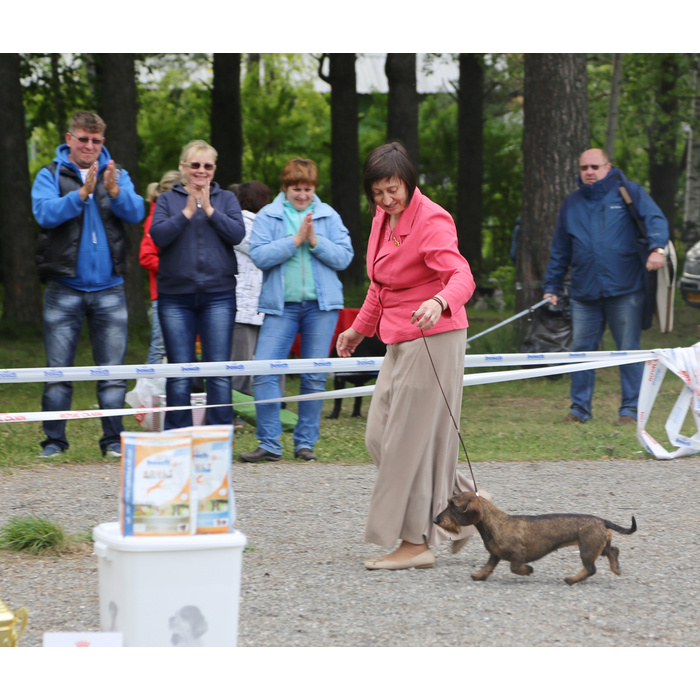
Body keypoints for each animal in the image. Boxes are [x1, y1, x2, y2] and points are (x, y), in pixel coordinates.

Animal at [432, 492, 636, 584]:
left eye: (453, 505)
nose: (435, 519)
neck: (497, 522)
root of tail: (601, 520)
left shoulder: (518, 553)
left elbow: (515, 567)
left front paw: (528, 570)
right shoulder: (494, 554)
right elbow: (488, 566)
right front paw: (480, 575)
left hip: (587, 549)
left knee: (591, 569)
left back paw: (572, 579)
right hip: (598, 547)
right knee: (613, 551)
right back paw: (615, 568)